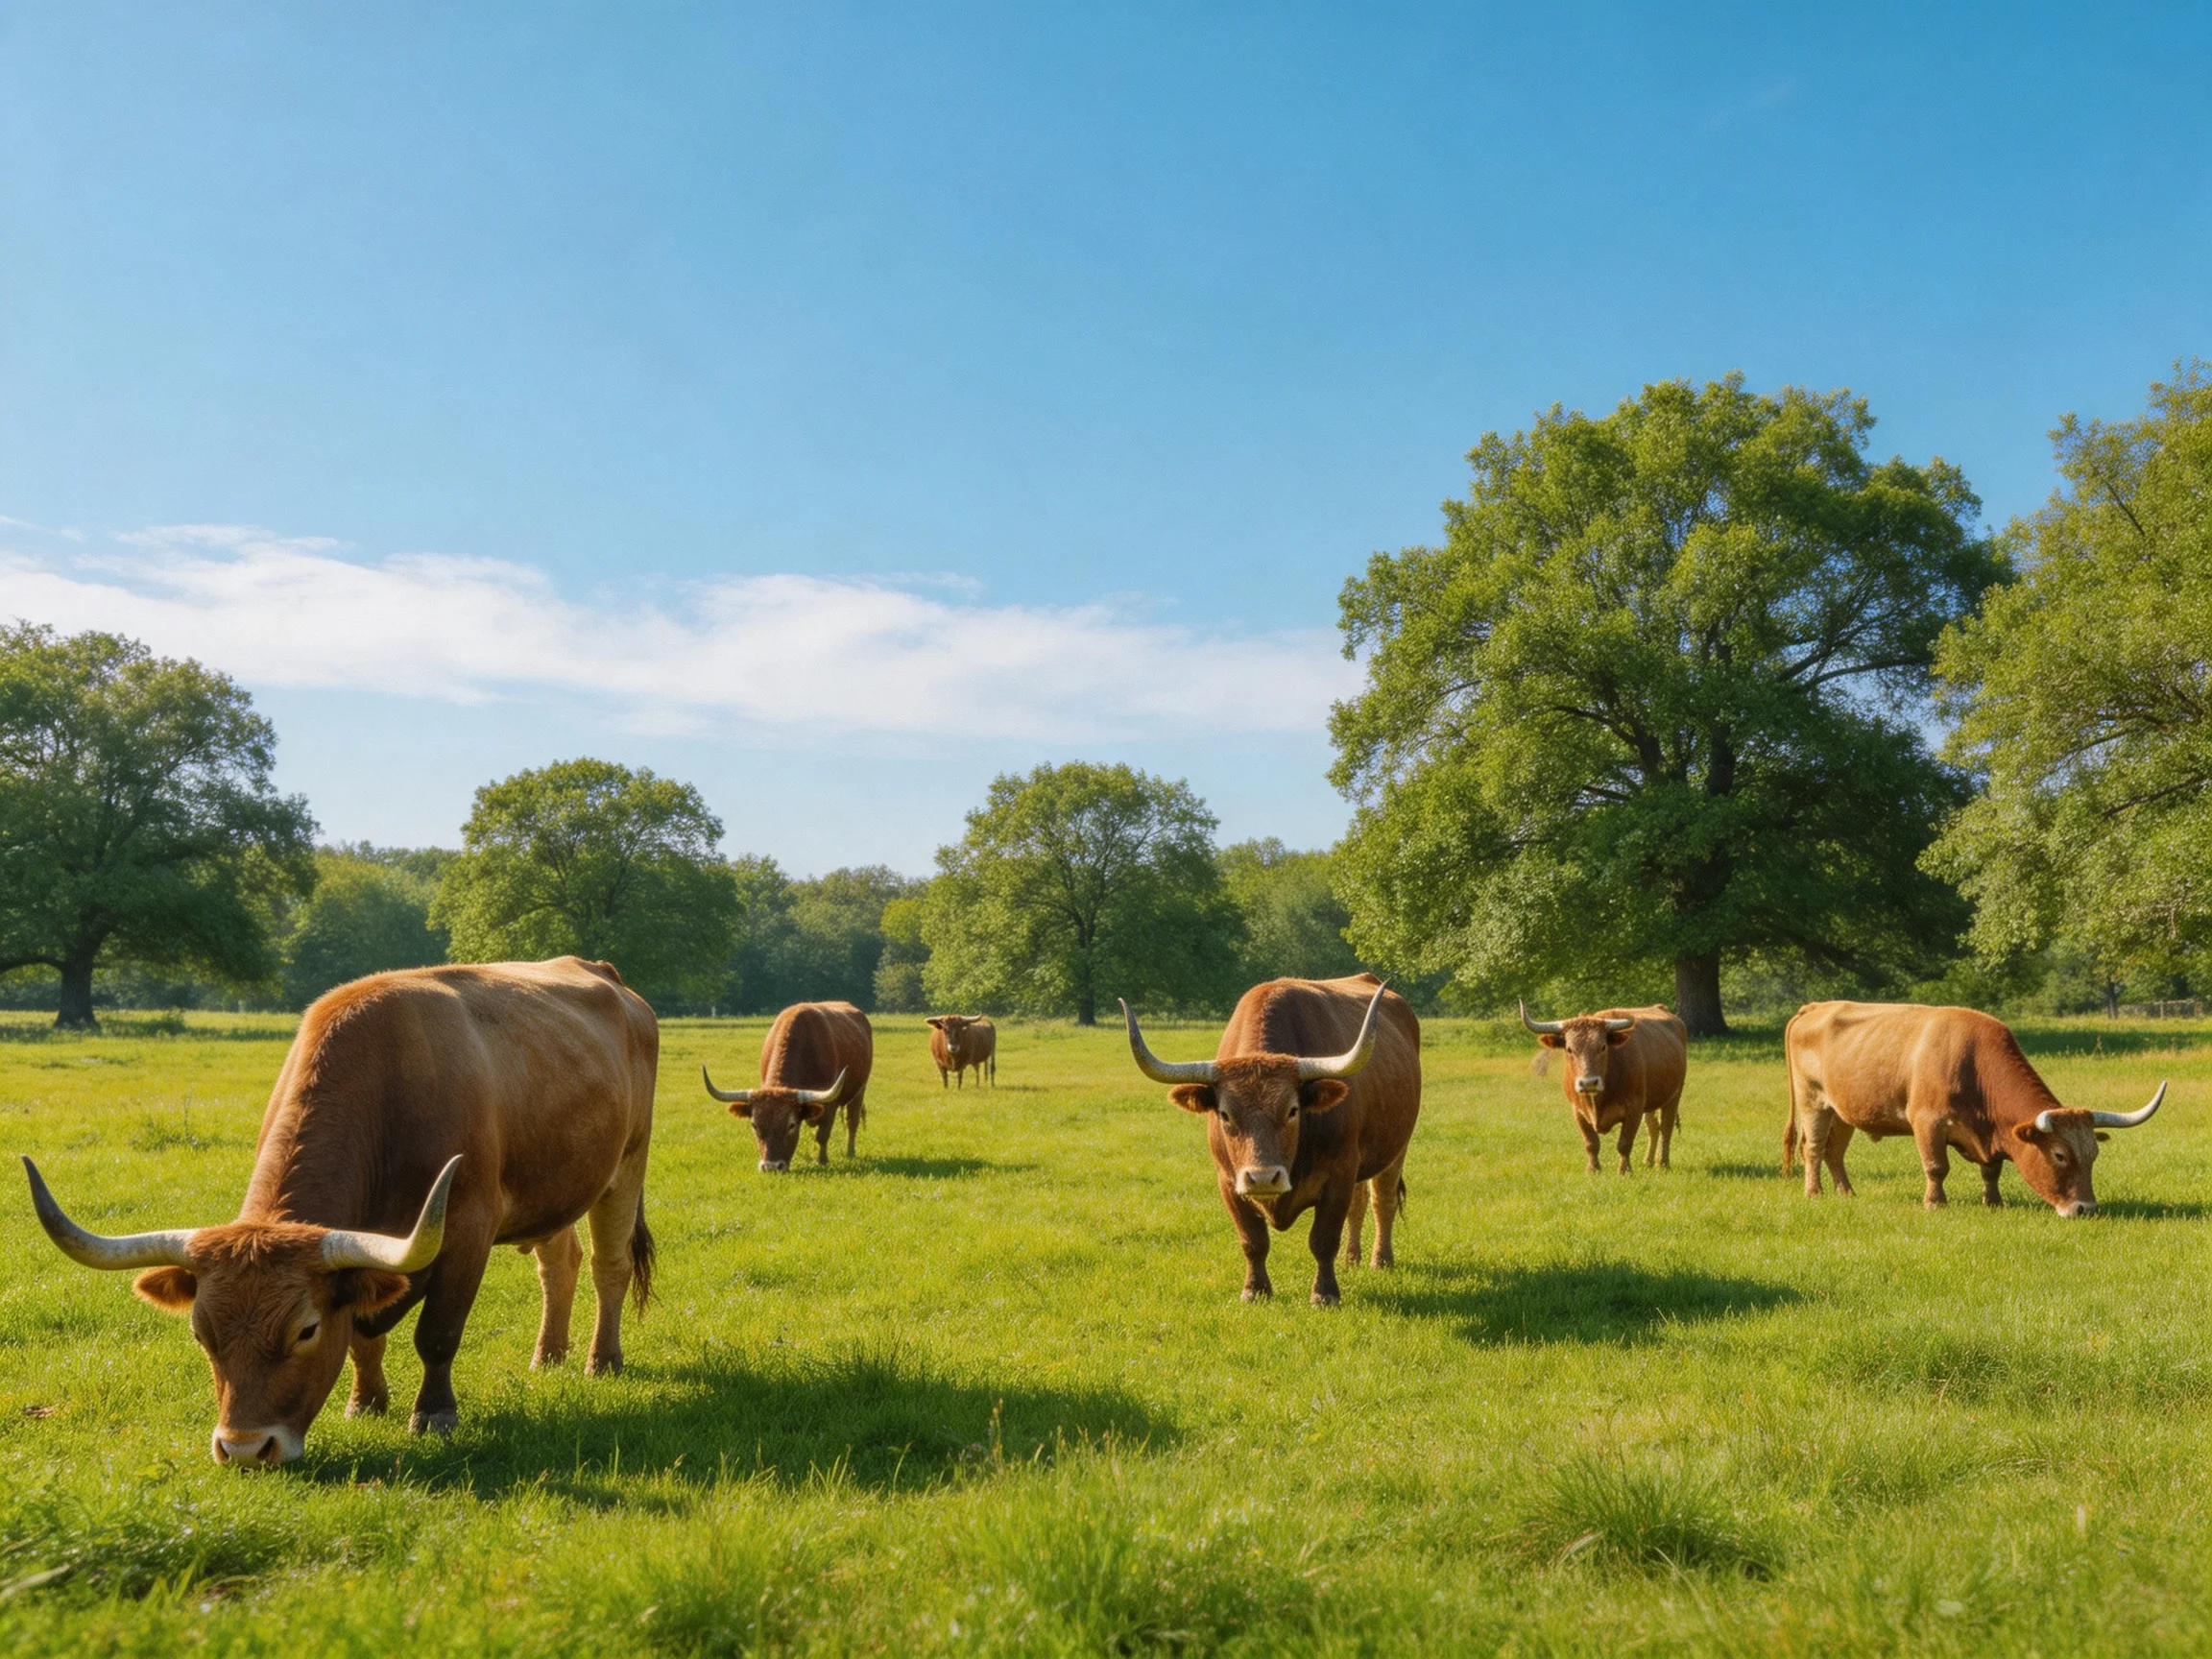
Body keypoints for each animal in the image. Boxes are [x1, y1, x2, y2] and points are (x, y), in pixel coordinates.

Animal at [18, 957, 658, 1466]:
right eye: (201, 1333)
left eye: (304, 1330)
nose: (244, 1449)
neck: (388, 1088)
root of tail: (605, 975)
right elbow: (361, 1335)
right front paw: (365, 1403)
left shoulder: (467, 1229)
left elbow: (438, 1333)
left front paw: (434, 1416)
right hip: (558, 1187)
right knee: (559, 1262)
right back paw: (548, 1357)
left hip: (627, 1164)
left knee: (609, 1266)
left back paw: (602, 1361)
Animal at [704, 1000, 872, 1172]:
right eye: (754, 1125)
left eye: (791, 1125)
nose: (771, 1166)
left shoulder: (830, 1105)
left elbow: (822, 1135)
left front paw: (822, 1161)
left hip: (860, 1091)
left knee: (852, 1121)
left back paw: (850, 1153)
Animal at [1122, 974, 1419, 1307]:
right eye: (1225, 1114)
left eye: (1292, 1110)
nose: (1263, 1178)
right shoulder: (1229, 1183)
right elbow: (1253, 1241)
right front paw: (1255, 1290)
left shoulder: (1339, 1175)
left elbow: (1323, 1240)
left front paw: (1325, 1293)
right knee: (1359, 1203)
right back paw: (1352, 1259)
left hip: (1396, 1150)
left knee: (1383, 1201)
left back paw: (1381, 1260)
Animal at [1520, 1002, 1688, 1173]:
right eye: (1569, 1049)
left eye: (1602, 1047)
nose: (1588, 1083)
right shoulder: (1577, 1111)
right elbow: (1591, 1143)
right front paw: (1593, 1169)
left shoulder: (1634, 1108)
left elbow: (1624, 1143)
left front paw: (1625, 1170)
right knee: (1653, 1127)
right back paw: (1648, 1161)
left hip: (1674, 1095)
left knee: (1666, 1128)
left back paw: (1663, 1163)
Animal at [1783, 1000, 2167, 1215]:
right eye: (2059, 1155)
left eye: (2093, 1155)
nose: (2086, 1208)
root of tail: (1817, 1006)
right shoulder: (1927, 1122)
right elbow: (1936, 1167)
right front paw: (1935, 1203)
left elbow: (1991, 1170)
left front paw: (1993, 1202)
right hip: (1813, 1101)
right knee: (1813, 1148)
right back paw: (1814, 1193)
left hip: (1842, 1112)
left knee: (1834, 1152)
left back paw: (1847, 1194)